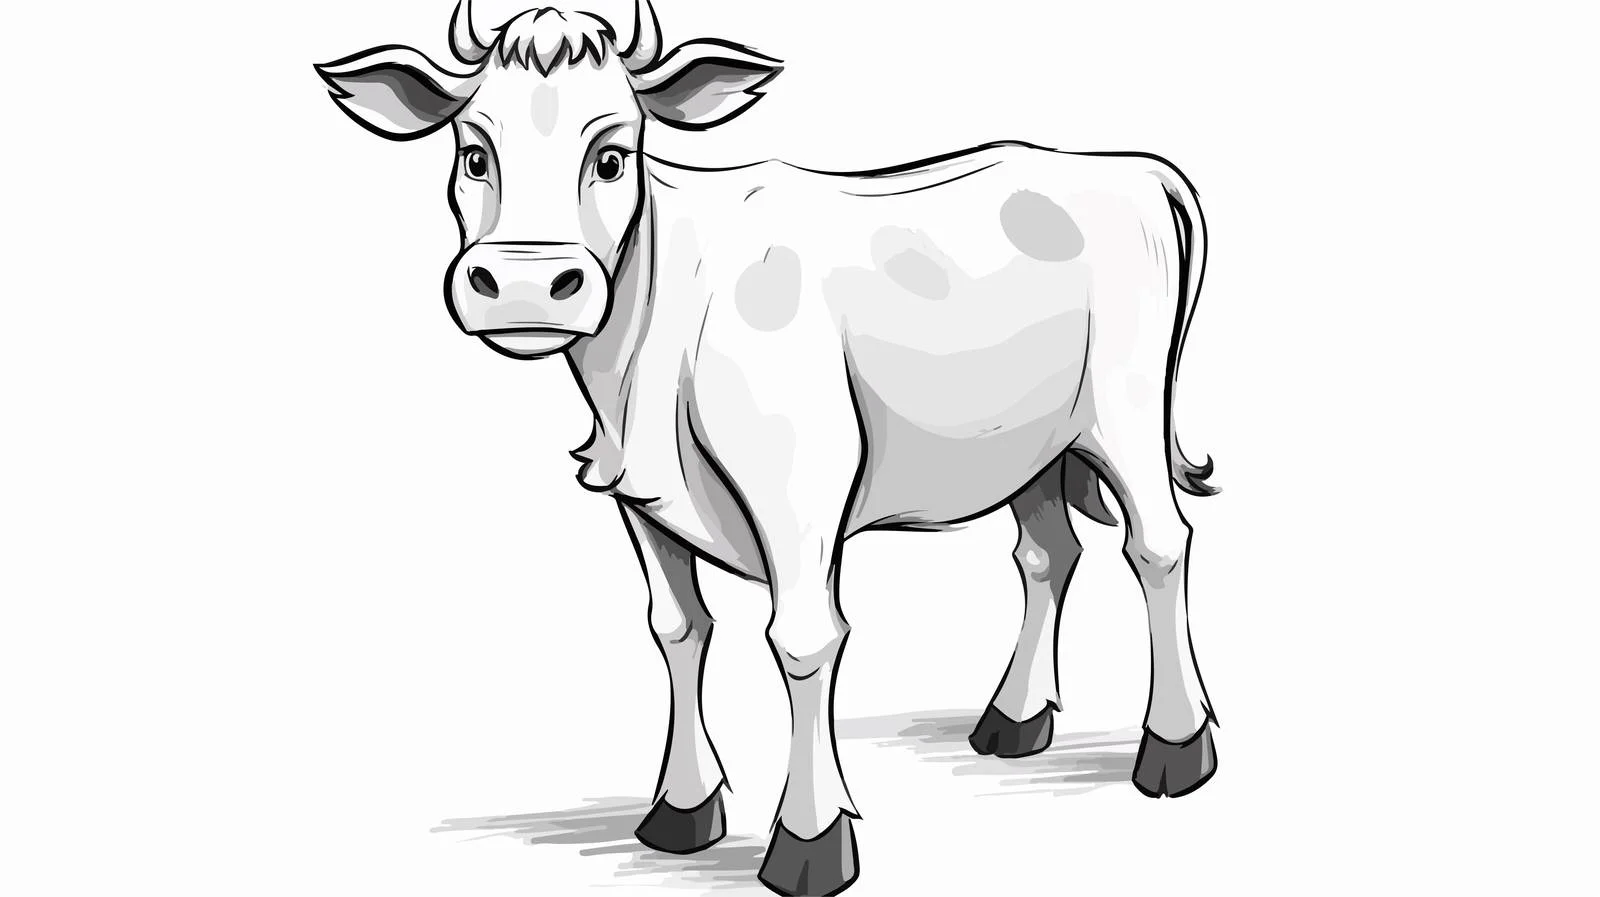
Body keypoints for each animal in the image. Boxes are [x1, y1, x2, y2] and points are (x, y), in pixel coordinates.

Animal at [316, 2, 1220, 893]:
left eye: (611, 157)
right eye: (474, 154)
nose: (527, 287)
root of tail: (1125, 166)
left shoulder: (801, 482)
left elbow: (803, 639)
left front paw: (810, 840)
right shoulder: (642, 502)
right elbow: (678, 628)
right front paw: (681, 810)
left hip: (1124, 414)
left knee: (1160, 544)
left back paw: (1176, 747)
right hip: (1028, 445)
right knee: (1046, 552)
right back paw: (1014, 718)